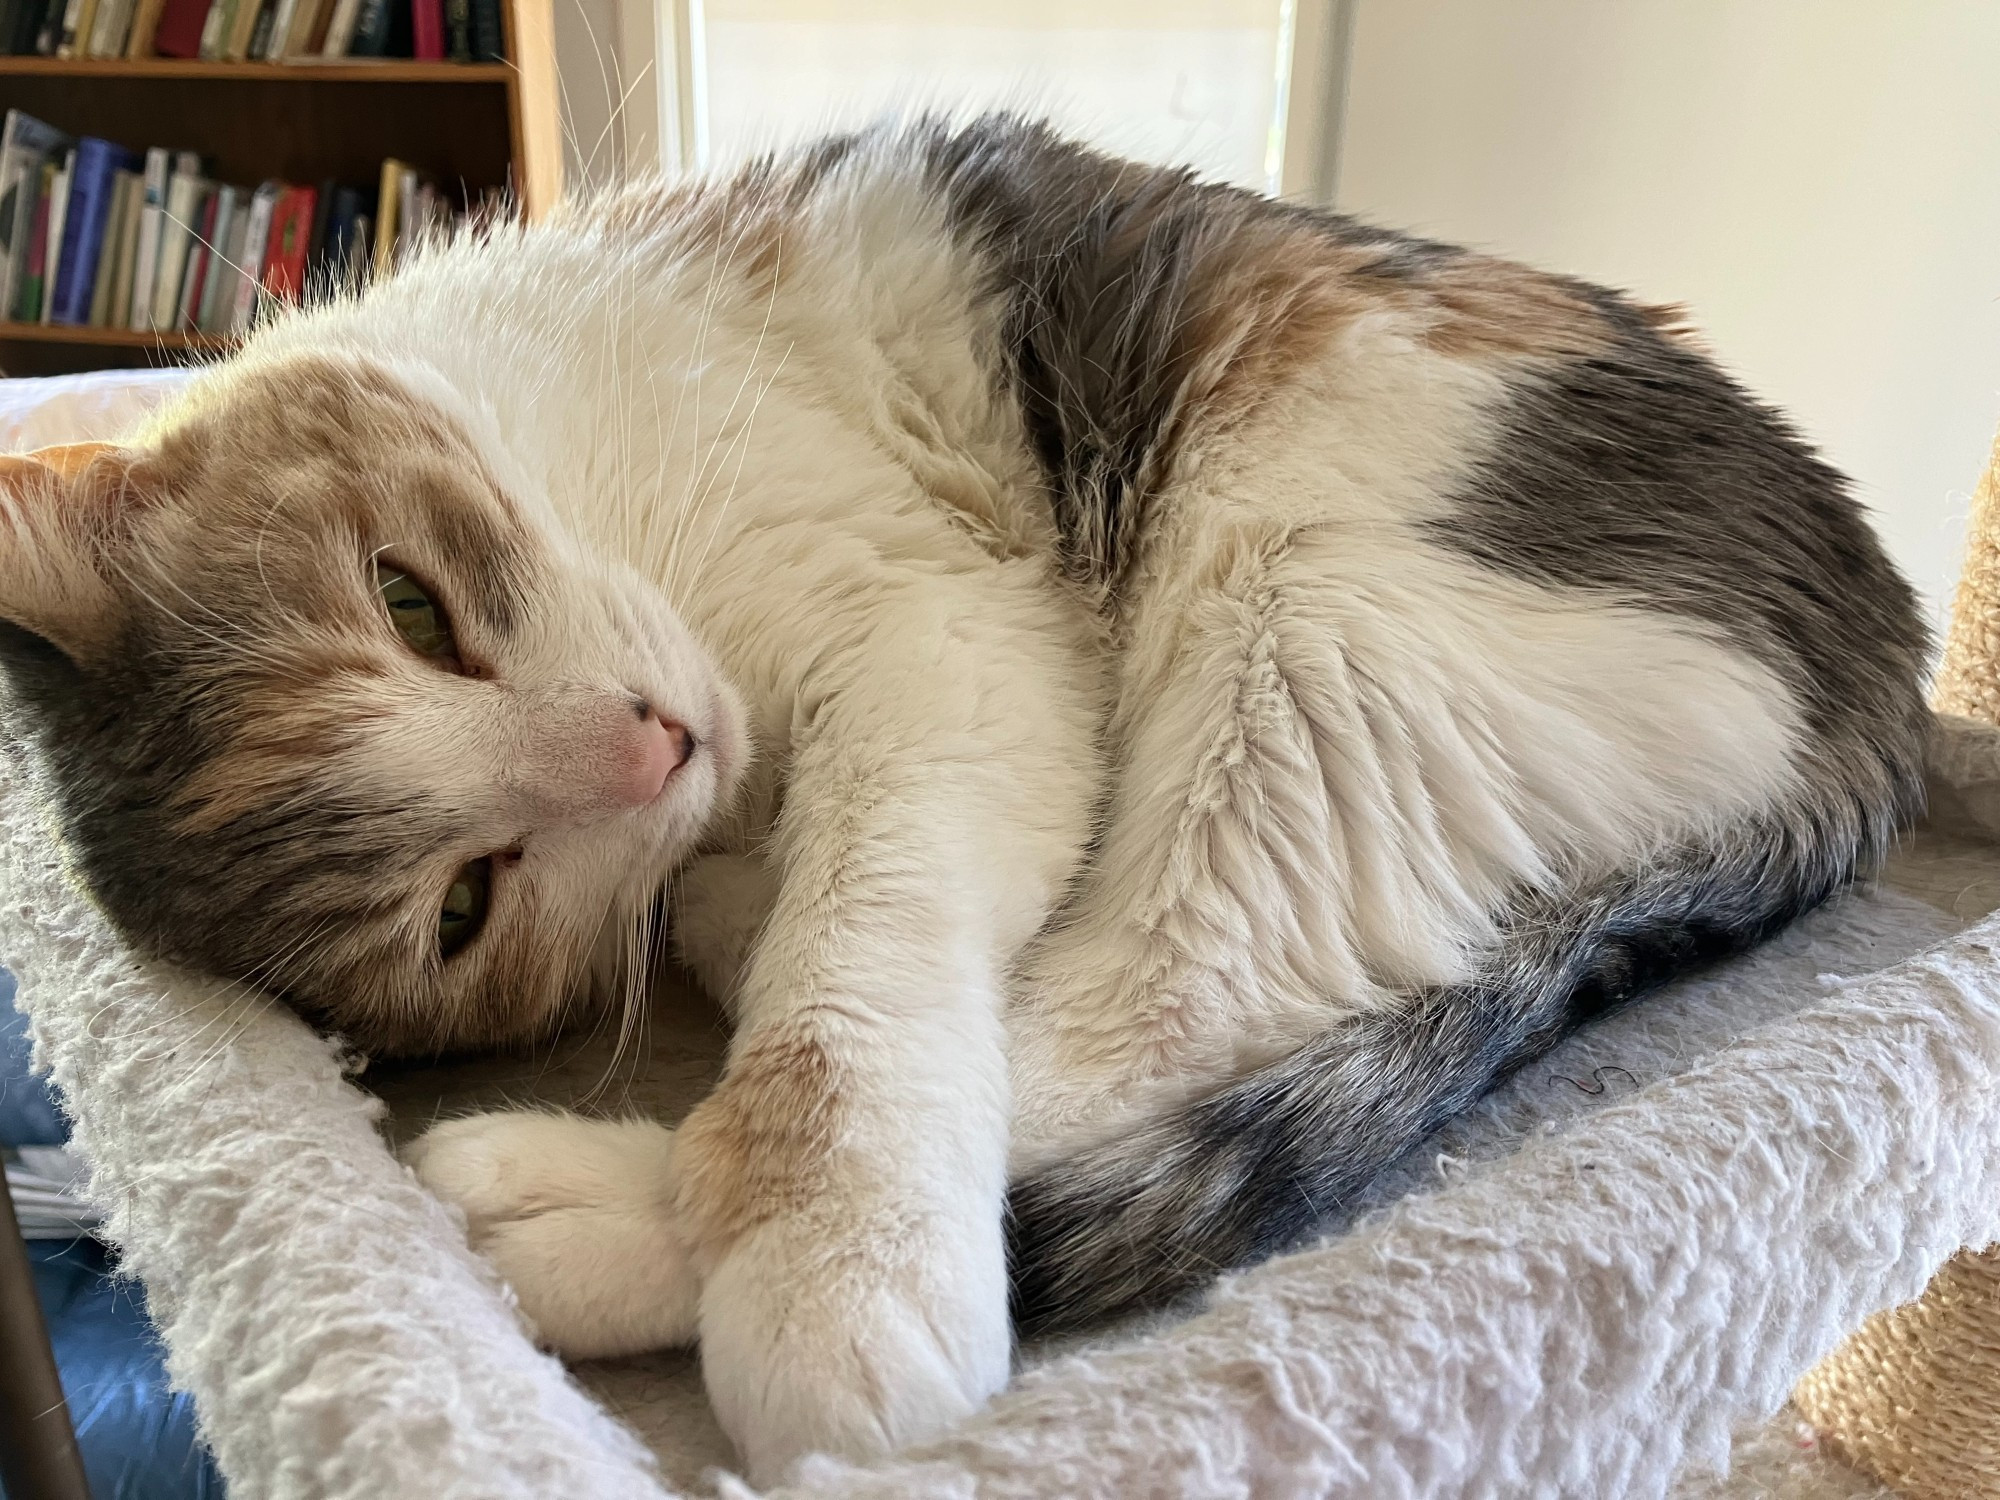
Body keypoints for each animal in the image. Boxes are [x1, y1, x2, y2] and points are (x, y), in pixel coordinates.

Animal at [0, 114, 1936, 1480]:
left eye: (413, 607)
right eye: (467, 904)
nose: (648, 748)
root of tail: (1893, 690)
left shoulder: (943, 629)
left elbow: (854, 978)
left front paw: (829, 1269)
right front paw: (719, 896)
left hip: (1316, 621)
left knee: (1107, 1039)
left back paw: (579, 1207)